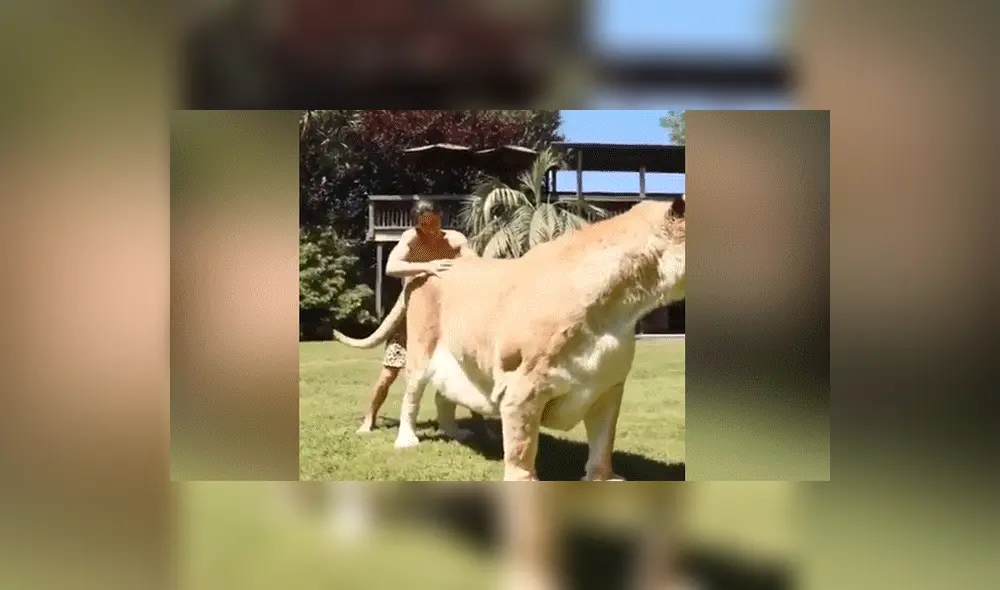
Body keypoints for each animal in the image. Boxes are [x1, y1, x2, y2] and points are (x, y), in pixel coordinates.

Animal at [334, 196, 685, 481]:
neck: (619, 308)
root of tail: (420, 272)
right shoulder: (523, 387)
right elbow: (521, 445)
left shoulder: (607, 388)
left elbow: (603, 441)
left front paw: (603, 479)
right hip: (421, 351)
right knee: (412, 397)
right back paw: (406, 441)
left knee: (444, 395)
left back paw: (455, 431)